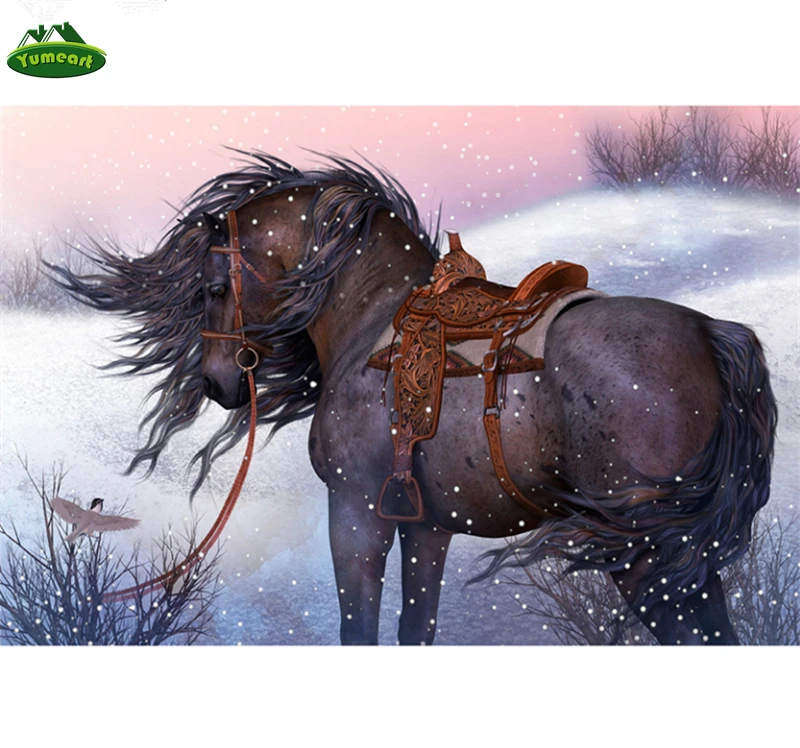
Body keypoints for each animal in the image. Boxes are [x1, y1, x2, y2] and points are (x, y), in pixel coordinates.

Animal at [51, 151, 778, 645]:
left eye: (212, 287)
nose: (219, 383)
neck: (373, 315)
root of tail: (712, 335)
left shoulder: (356, 512)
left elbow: (360, 627)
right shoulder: (426, 525)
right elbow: (413, 628)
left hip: (649, 556)